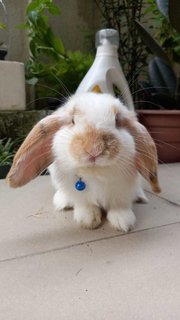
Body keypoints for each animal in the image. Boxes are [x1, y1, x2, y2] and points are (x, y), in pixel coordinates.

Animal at [6, 91, 161, 231]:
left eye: (117, 121)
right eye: (73, 120)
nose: (94, 149)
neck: (95, 172)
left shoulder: (122, 192)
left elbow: (119, 206)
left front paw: (123, 222)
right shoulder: (80, 196)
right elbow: (86, 205)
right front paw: (88, 220)